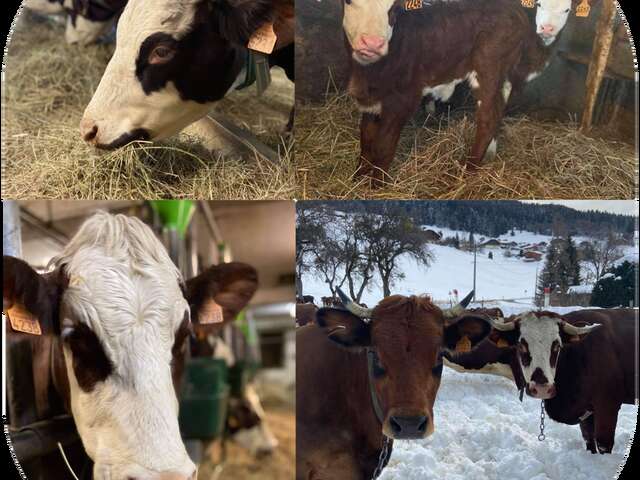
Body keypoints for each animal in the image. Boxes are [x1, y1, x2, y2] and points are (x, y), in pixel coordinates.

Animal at [341, 0, 575, 186]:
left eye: (395, 8)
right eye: (349, 1)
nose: (372, 43)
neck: (369, 73)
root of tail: (513, 8)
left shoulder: (402, 100)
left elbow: (383, 145)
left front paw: (376, 185)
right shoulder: (370, 101)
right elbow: (366, 139)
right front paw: (358, 178)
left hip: (488, 68)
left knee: (488, 117)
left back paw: (468, 168)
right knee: (499, 109)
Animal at [446, 309, 636, 454]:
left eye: (557, 345)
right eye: (521, 345)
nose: (542, 388)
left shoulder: (607, 405)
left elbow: (603, 444)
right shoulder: (587, 412)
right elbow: (589, 441)